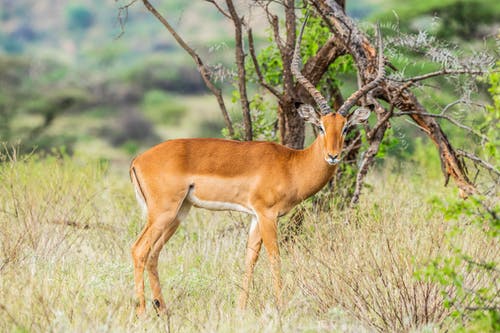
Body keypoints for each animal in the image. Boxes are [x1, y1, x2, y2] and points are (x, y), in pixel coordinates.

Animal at [130, 18, 382, 316]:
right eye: (320, 126)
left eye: (345, 128)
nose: (333, 156)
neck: (291, 164)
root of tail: (138, 160)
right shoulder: (267, 215)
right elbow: (275, 256)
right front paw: (281, 305)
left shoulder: (253, 217)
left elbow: (250, 257)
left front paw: (241, 307)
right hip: (163, 212)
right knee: (139, 249)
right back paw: (142, 311)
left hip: (179, 213)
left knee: (154, 253)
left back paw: (163, 309)